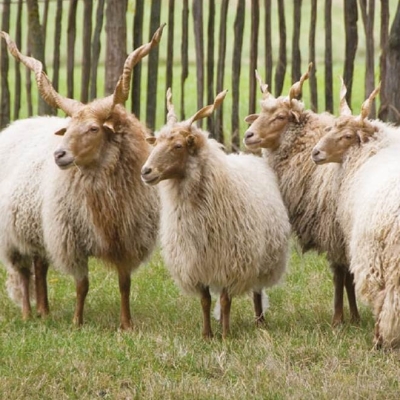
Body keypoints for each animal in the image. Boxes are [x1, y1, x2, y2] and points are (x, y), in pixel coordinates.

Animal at [0, 27, 164, 328]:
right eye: (67, 128)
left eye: (93, 129)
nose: (59, 155)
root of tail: (17, 124)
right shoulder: (71, 240)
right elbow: (82, 285)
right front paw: (77, 322)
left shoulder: (126, 239)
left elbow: (125, 284)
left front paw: (126, 324)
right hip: (14, 235)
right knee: (24, 273)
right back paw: (28, 313)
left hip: (39, 230)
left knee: (40, 267)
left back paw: (44, 311)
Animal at [139, 88, 290, 338]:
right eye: (156, 142)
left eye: (178, 146)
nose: (146, 171)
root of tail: (243, 155)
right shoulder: (197, 265)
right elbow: (205, 301)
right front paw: (207, 334)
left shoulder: (230, 262)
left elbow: (226, 301)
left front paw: (226, 335)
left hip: (263, 259)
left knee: (257, 291)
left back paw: (259, 321)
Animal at [242, 67, 360, 326]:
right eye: (260, 114)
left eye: (280, 117)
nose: (248, 135)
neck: (305, 147)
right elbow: (349, 276)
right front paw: (355, 317)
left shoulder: (334, 230)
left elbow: (341, 275)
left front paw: (339, 319)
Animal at [310, 81, 400, 346]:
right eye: (330, 128)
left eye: (348, 136)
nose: (315, 153)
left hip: (377, 254)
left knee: (386, 296)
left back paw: (379, 338)